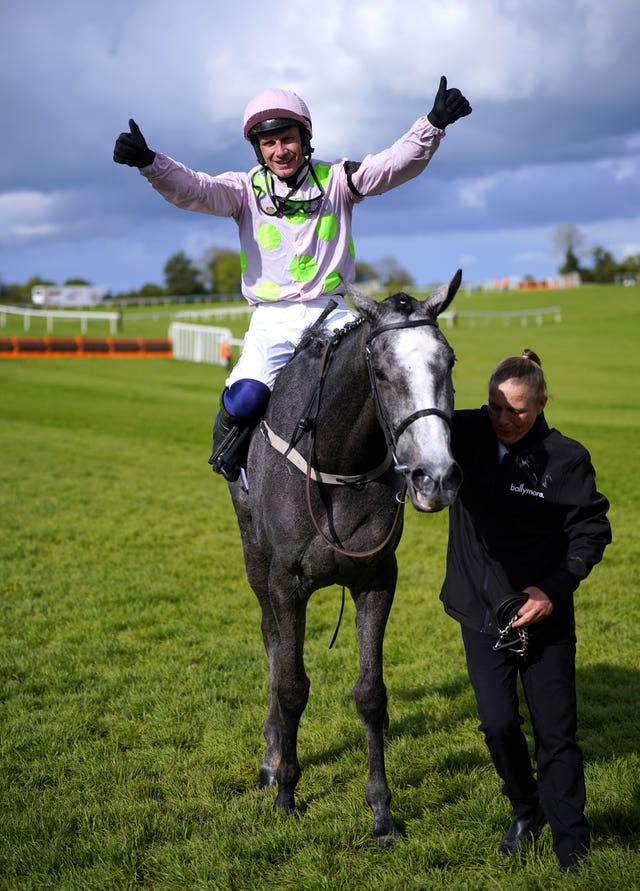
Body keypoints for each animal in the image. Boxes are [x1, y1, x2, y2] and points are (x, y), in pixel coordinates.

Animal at [228, 270, 462, 844]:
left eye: (448, 360)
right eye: (380, 371)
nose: (435, 476)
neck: (340, 462)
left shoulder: (377, 576)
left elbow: (371, 693)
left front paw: (382, 812)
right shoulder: (286, 581)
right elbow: (291, 683)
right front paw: (287, 792)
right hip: (252, 555)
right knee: (272, 644)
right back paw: (271, 759)